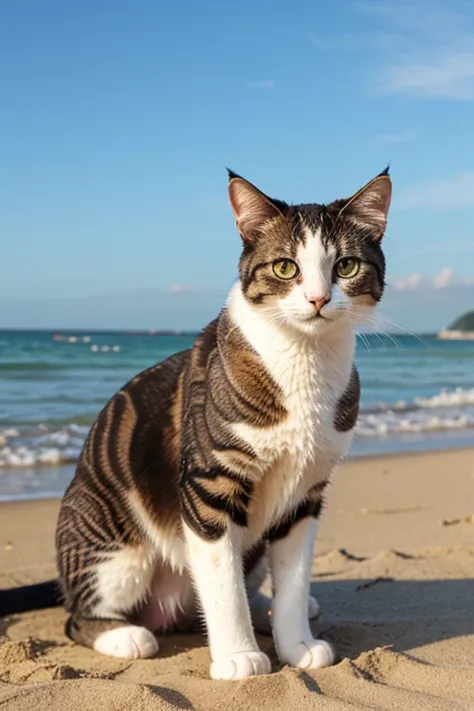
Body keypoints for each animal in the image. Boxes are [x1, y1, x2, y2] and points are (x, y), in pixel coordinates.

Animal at [0, 165, 392, 680]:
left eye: (345, 266)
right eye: (285, 267)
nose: (318, 299)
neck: (304, 360)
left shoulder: (305, 494)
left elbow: (293, 575)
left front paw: (297, 643)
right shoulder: (209, 483)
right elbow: (223, 585)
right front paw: (239, 656)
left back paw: (275, 607)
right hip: (112, 546)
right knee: (78, 616)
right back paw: (124, 635)